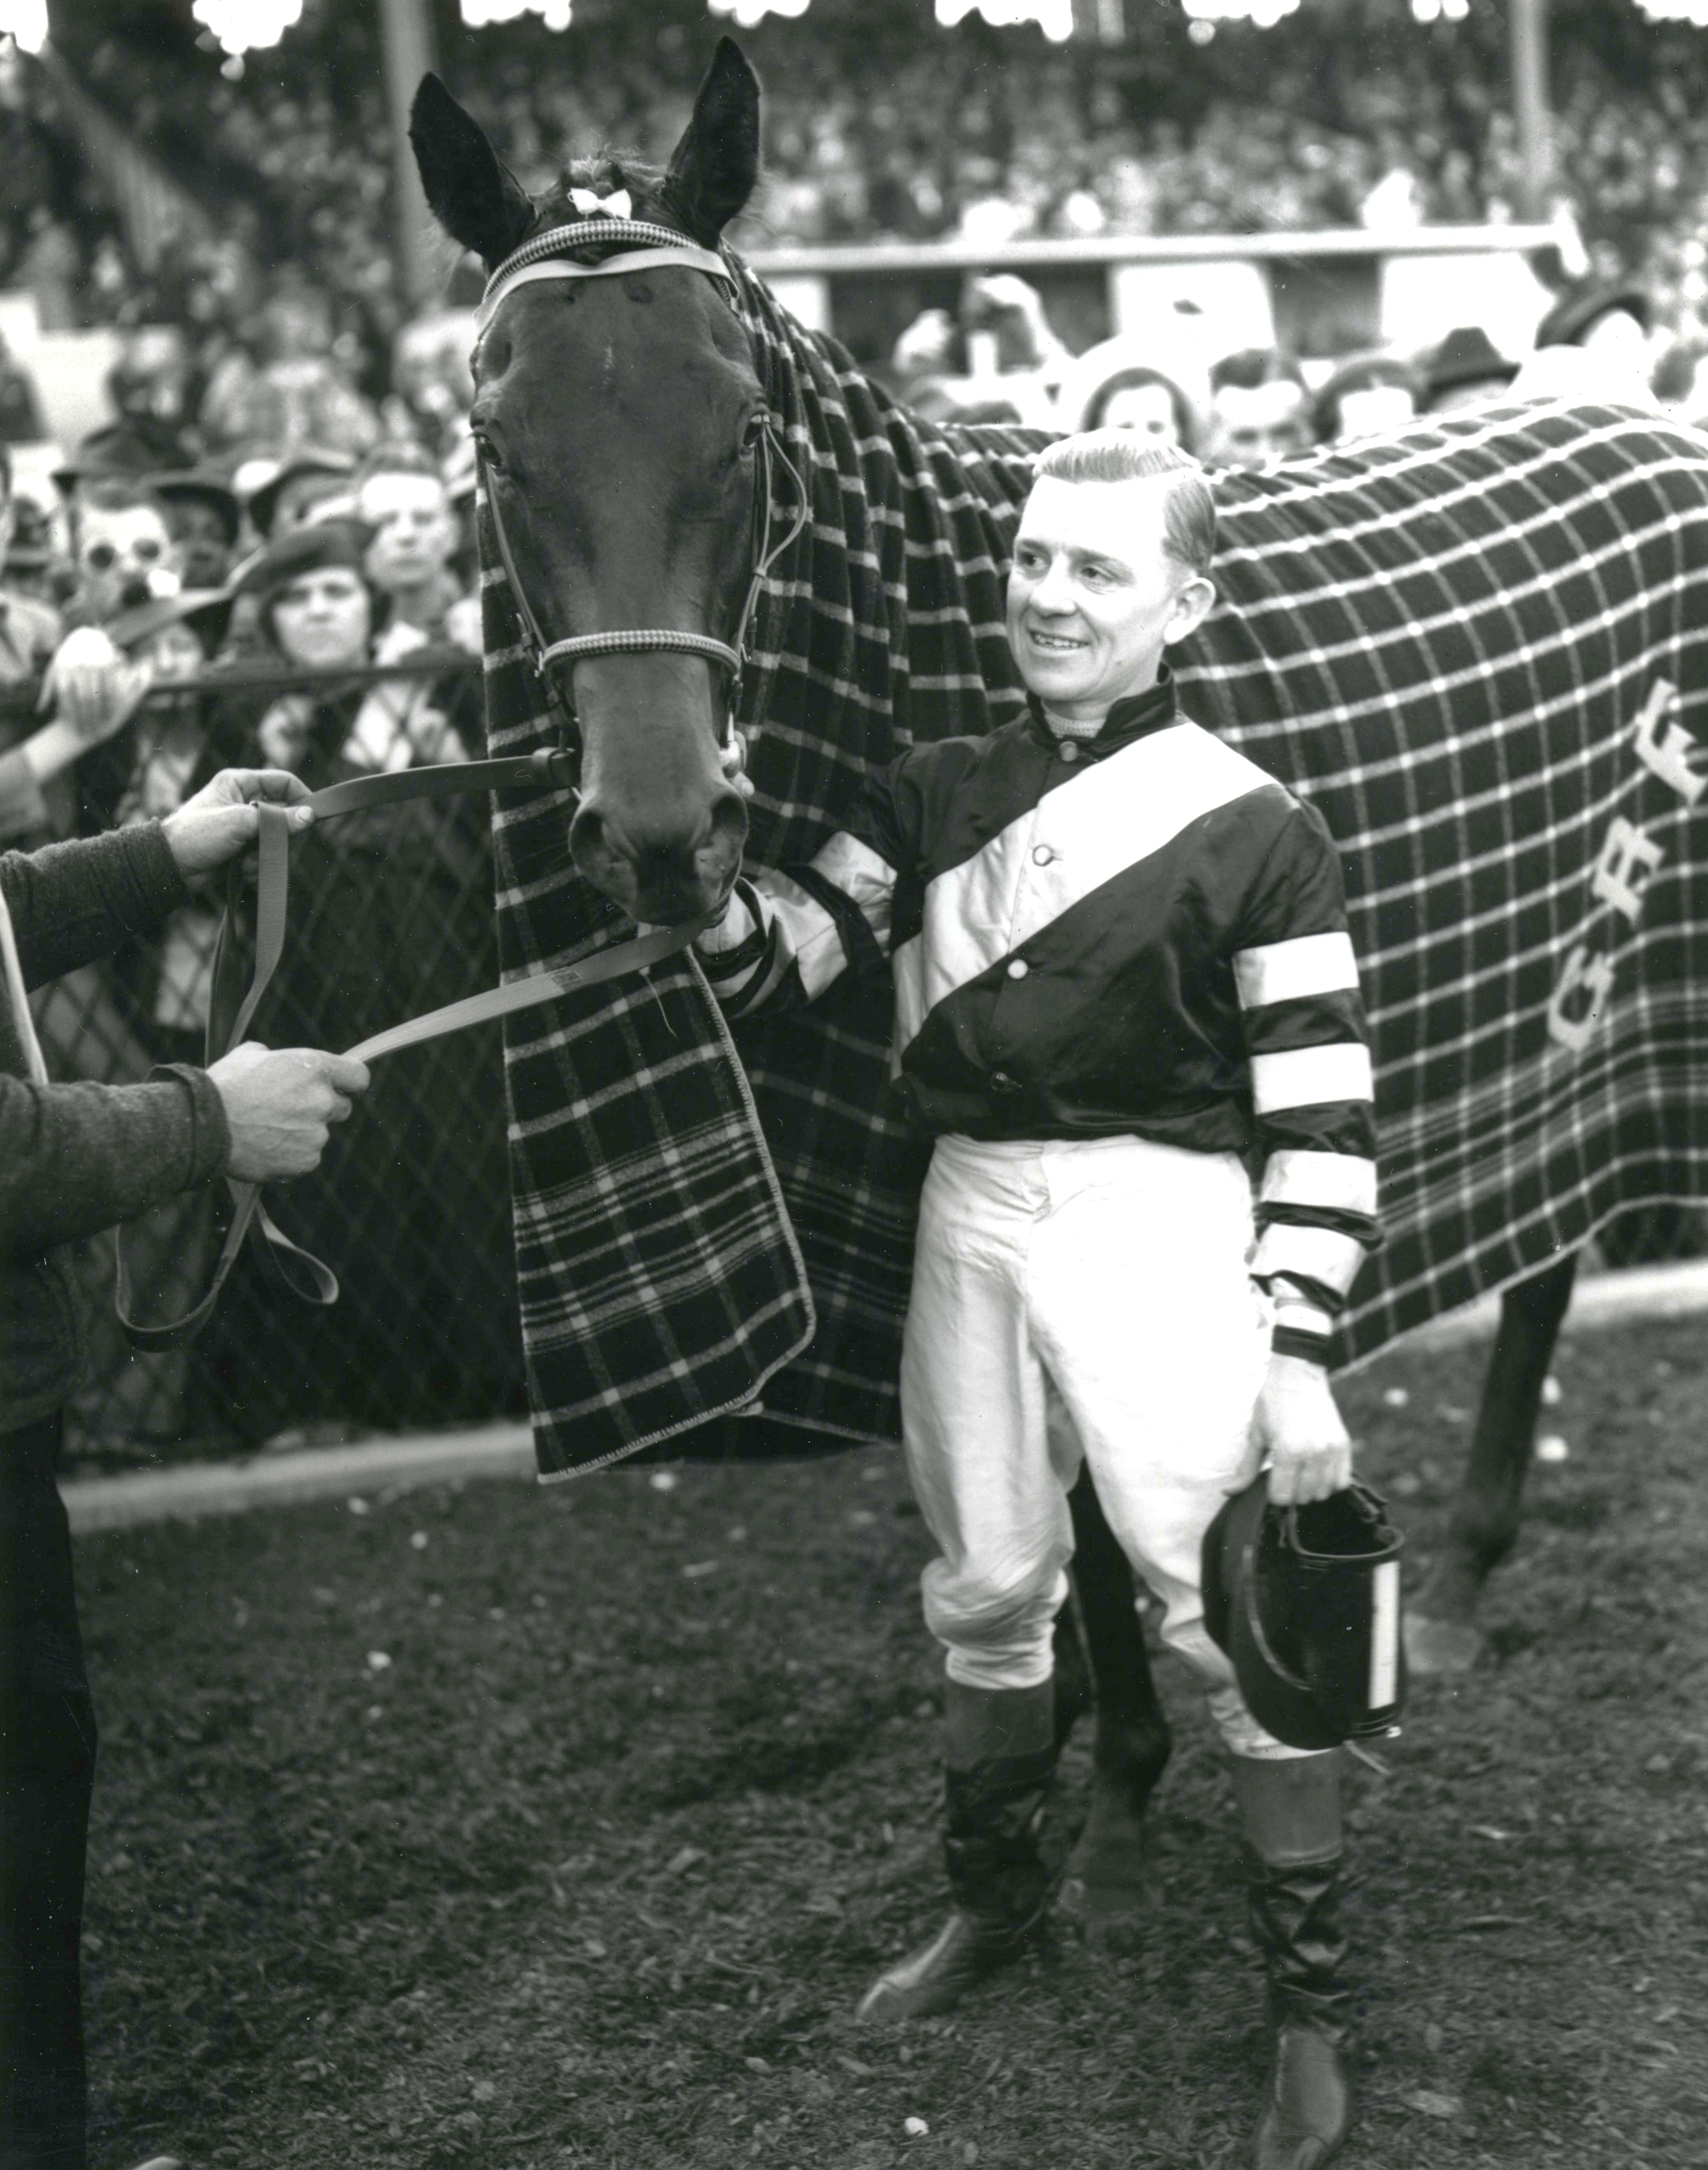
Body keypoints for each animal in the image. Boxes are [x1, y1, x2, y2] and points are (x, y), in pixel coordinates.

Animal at [408, 42, 1708, 1927]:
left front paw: (1116, 1788)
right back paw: (1461, 1573)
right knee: (1547, 1239)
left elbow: (1099, 1493)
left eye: (739, 427)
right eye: (496, 445)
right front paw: (1077, 1757)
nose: (658, 831)